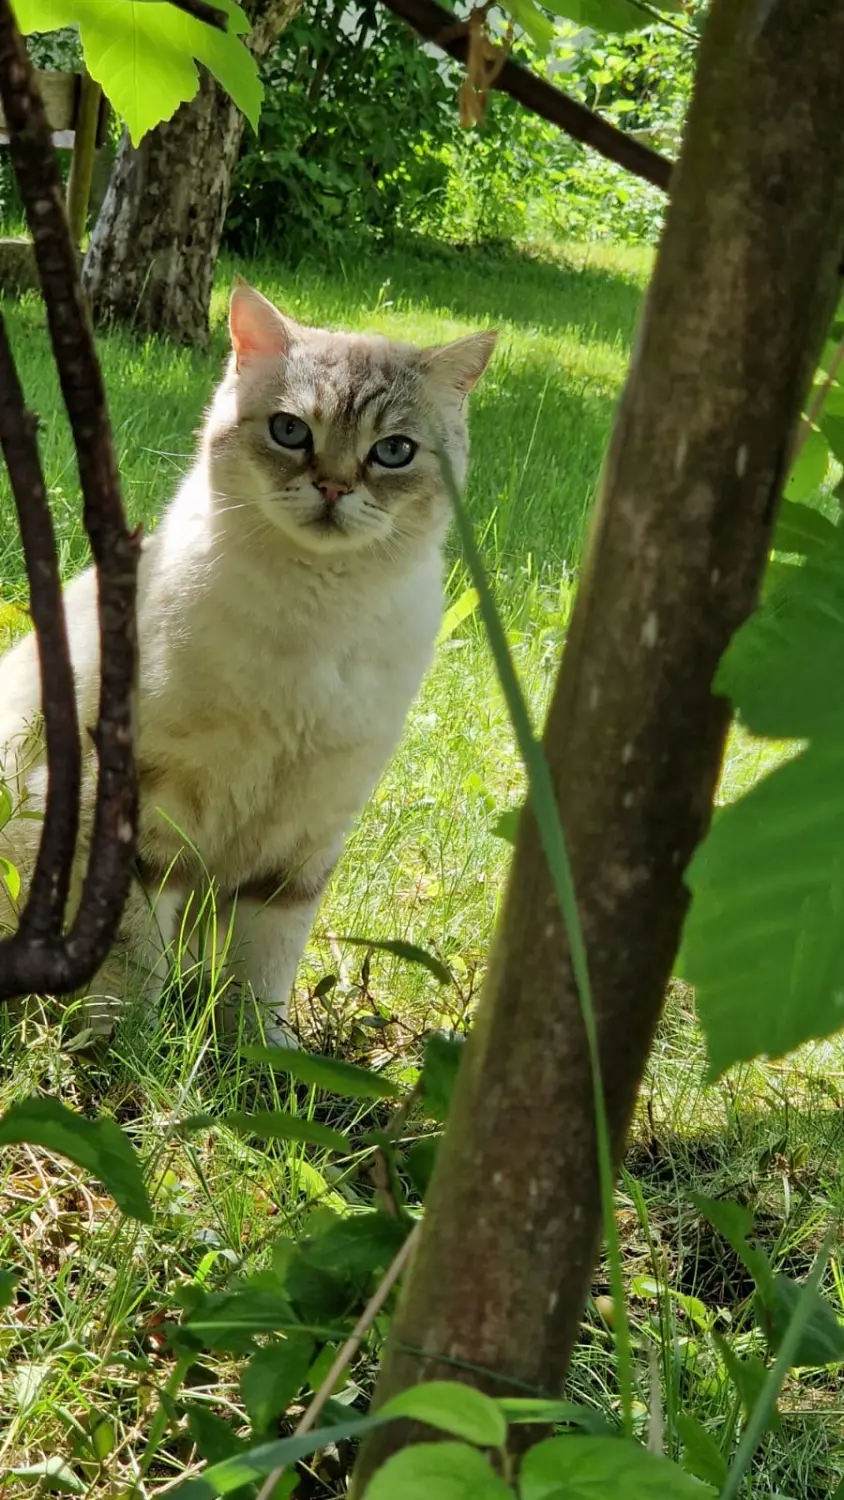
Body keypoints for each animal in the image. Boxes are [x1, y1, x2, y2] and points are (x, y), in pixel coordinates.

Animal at [0, 283, 494, 1044]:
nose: (333, 487)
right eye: (291, 432)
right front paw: (121, 1046)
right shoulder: (144, 804)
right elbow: (133, 952)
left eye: (393, 451)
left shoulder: (306, 832)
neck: (318, 615)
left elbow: (264, 964)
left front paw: (264, 1055)